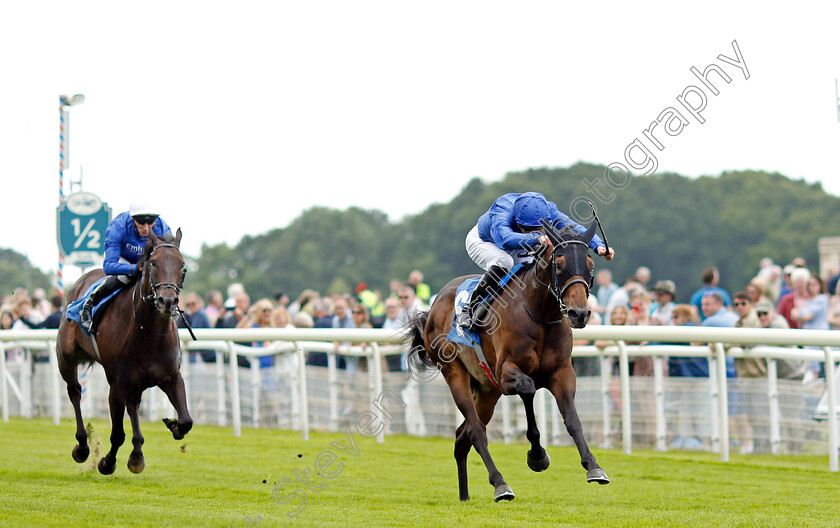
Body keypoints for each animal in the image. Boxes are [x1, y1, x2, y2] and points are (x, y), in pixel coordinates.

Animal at [57, 230, 192, 474]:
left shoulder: (171, 376)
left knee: (133, 406)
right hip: (66, 359)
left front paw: (173, 425)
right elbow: (117, 434)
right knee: (75, 392)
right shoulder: (117, 384)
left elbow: (186, 420)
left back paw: (137, 454)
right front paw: (106, 463)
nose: (167, 301)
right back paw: (82, 446)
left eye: (183, 266)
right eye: (153, 262)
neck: (148, 331)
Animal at [406, 221, 612, 502]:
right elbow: (527, 389)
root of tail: (434, 305)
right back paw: (500, 484)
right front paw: (537, 455)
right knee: (476, 431)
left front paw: (594, 467)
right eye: (559, 264)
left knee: (462, 437)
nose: (579, 313)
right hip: (455, 373)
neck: (539, 314)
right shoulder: (506, 374)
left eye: (590, 265)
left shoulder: (562, 373)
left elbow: (572, 419)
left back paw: (465, 496)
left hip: (487, 390)